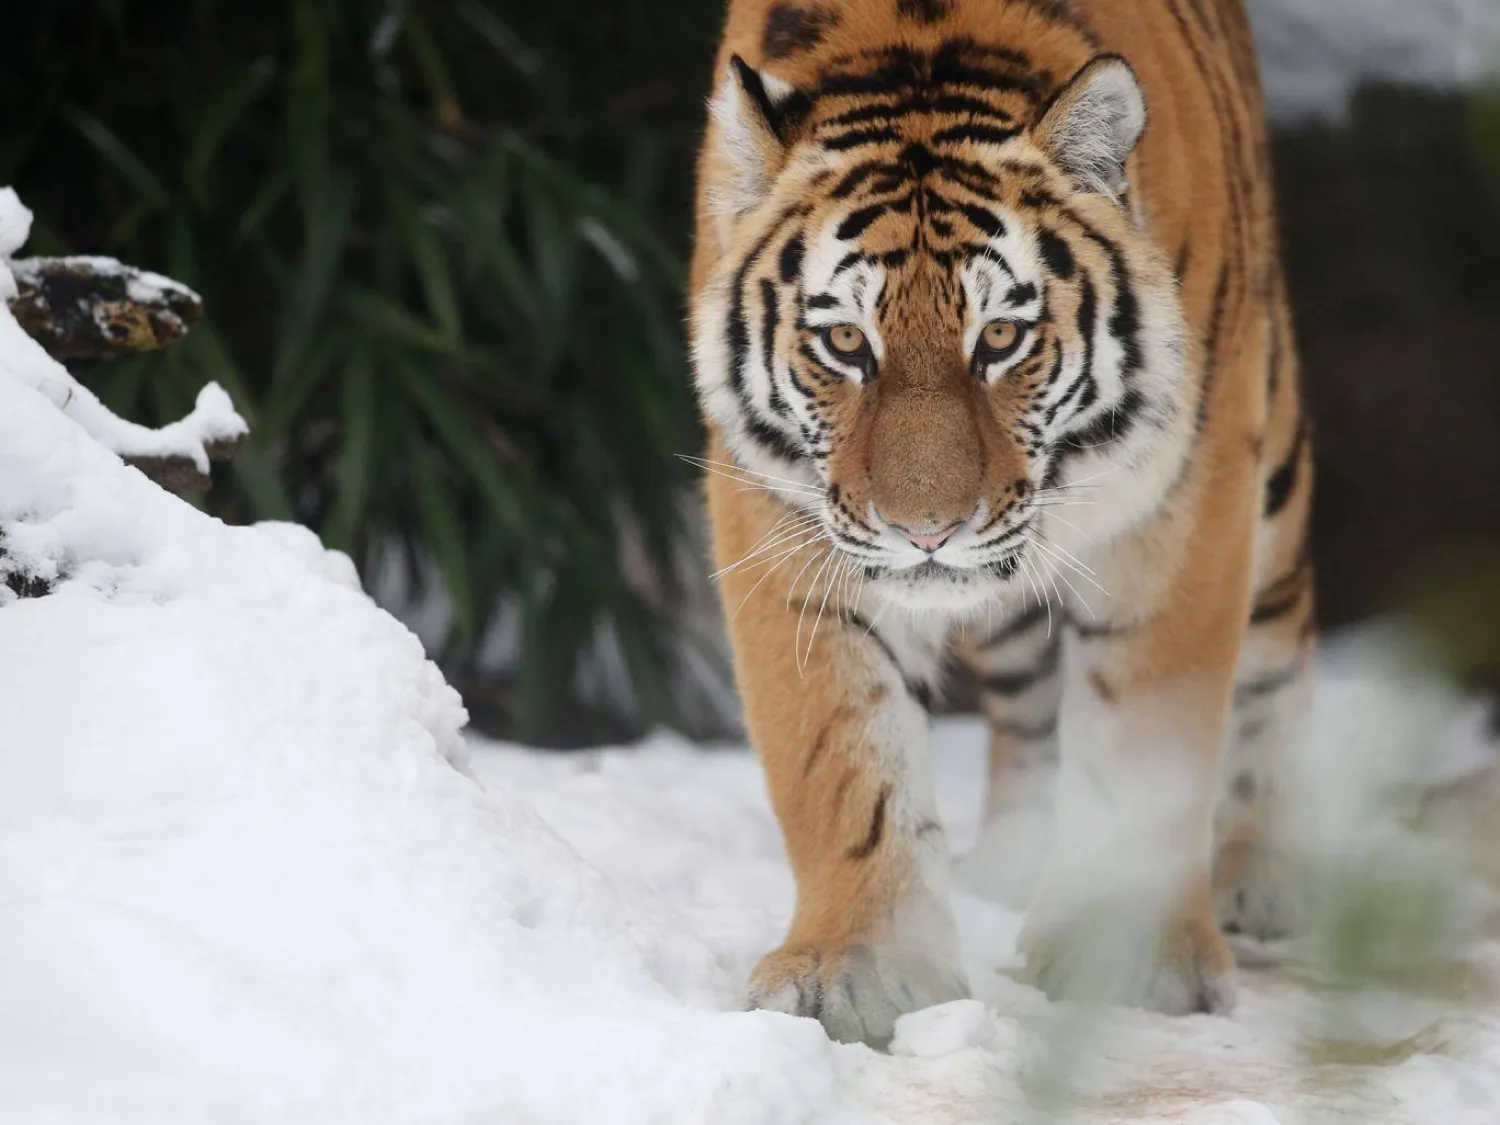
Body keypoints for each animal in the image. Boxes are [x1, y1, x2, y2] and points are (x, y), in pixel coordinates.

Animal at [688, 0, 1314, 1046]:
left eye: (1003, 339)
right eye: (845, 341)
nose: (926, 531)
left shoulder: (1188, 503)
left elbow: (1148, 738)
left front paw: (1130, 955)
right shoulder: (778, 515)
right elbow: (840, 755)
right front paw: (851, 970)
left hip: (1270, 461)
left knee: (1280, 651)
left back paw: (1267, 877)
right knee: (1027, 699)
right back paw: (1015, 861)